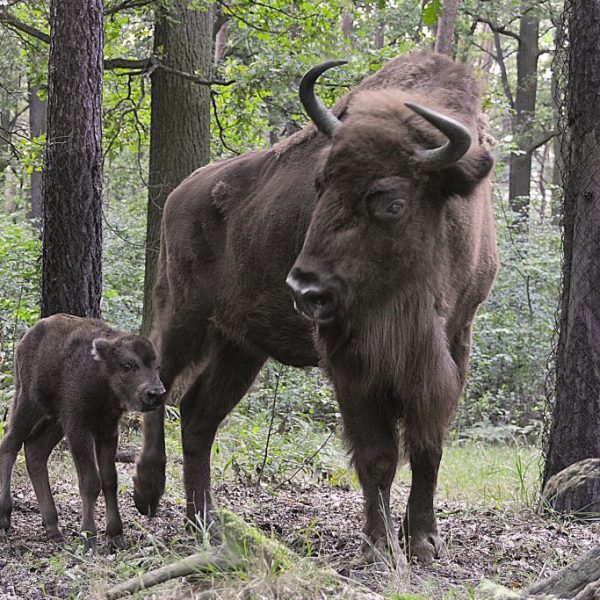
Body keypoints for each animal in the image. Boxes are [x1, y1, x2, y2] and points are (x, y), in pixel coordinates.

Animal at [0, 314, 165, 548]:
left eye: (156, 366)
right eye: (127, 365)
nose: (156, 394)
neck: (101, 373)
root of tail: (27, 337)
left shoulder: (107, 430)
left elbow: (109, 479)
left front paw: (115, 534)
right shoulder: (78, 427)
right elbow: (90, 481)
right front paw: (88, 536)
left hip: (54, 420)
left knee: (34, 451)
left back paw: (53, 528)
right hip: (28, 403)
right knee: (10, 443)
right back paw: (5, 517)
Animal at [134, 49, 500, 564]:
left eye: (392, 202)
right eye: (320, 183)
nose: (304, 288)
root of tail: (179, 194)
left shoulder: (451, 346)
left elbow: (428, 447)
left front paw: (425, 541)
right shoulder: (349, 357)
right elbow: (378, 456)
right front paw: (379, 546)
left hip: (240, 346)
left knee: (198, 414)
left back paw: (203, 521)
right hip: (185, 317)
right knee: (159, 381)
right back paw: (148, 492)